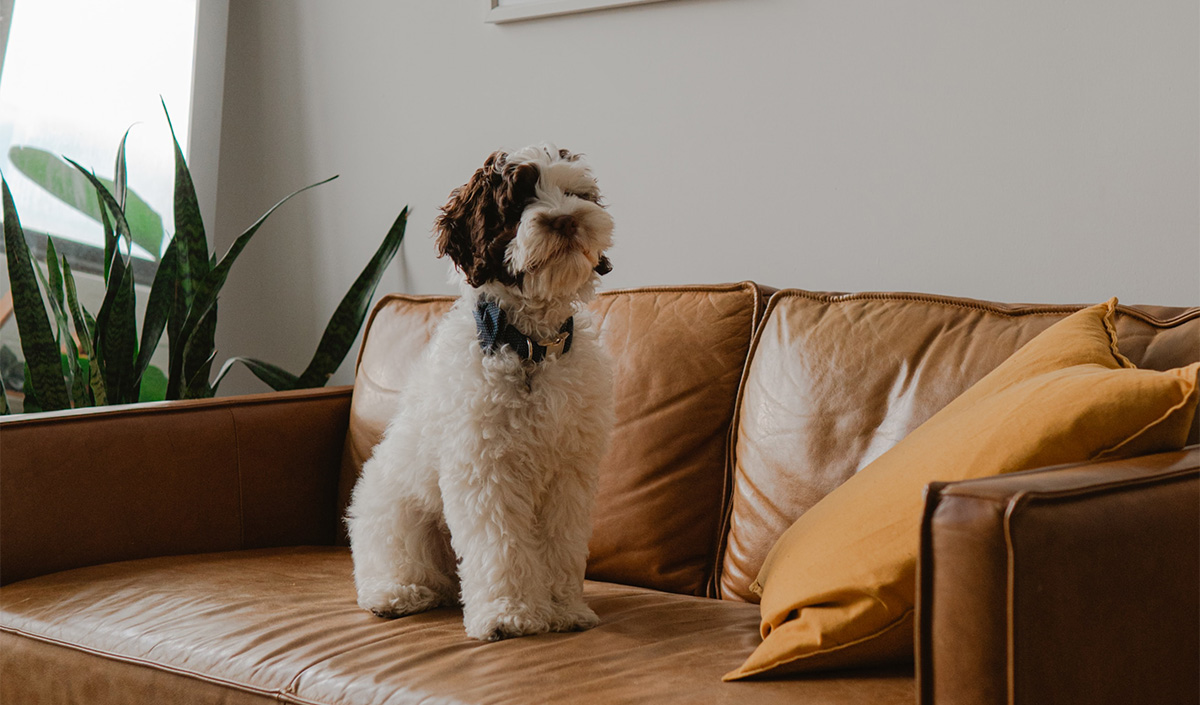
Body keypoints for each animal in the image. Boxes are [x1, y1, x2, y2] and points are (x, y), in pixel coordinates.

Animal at [345, 145, 609, 642]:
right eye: (518, 201)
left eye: (574, 194)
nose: (565, 220)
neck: (528, 347)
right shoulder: (488, 469)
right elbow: (503, 545)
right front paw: (511, 614)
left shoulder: (569, 474)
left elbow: (561, 544)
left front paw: (564, 610)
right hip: (396, 516)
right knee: (391, 565)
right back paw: (396, 594)